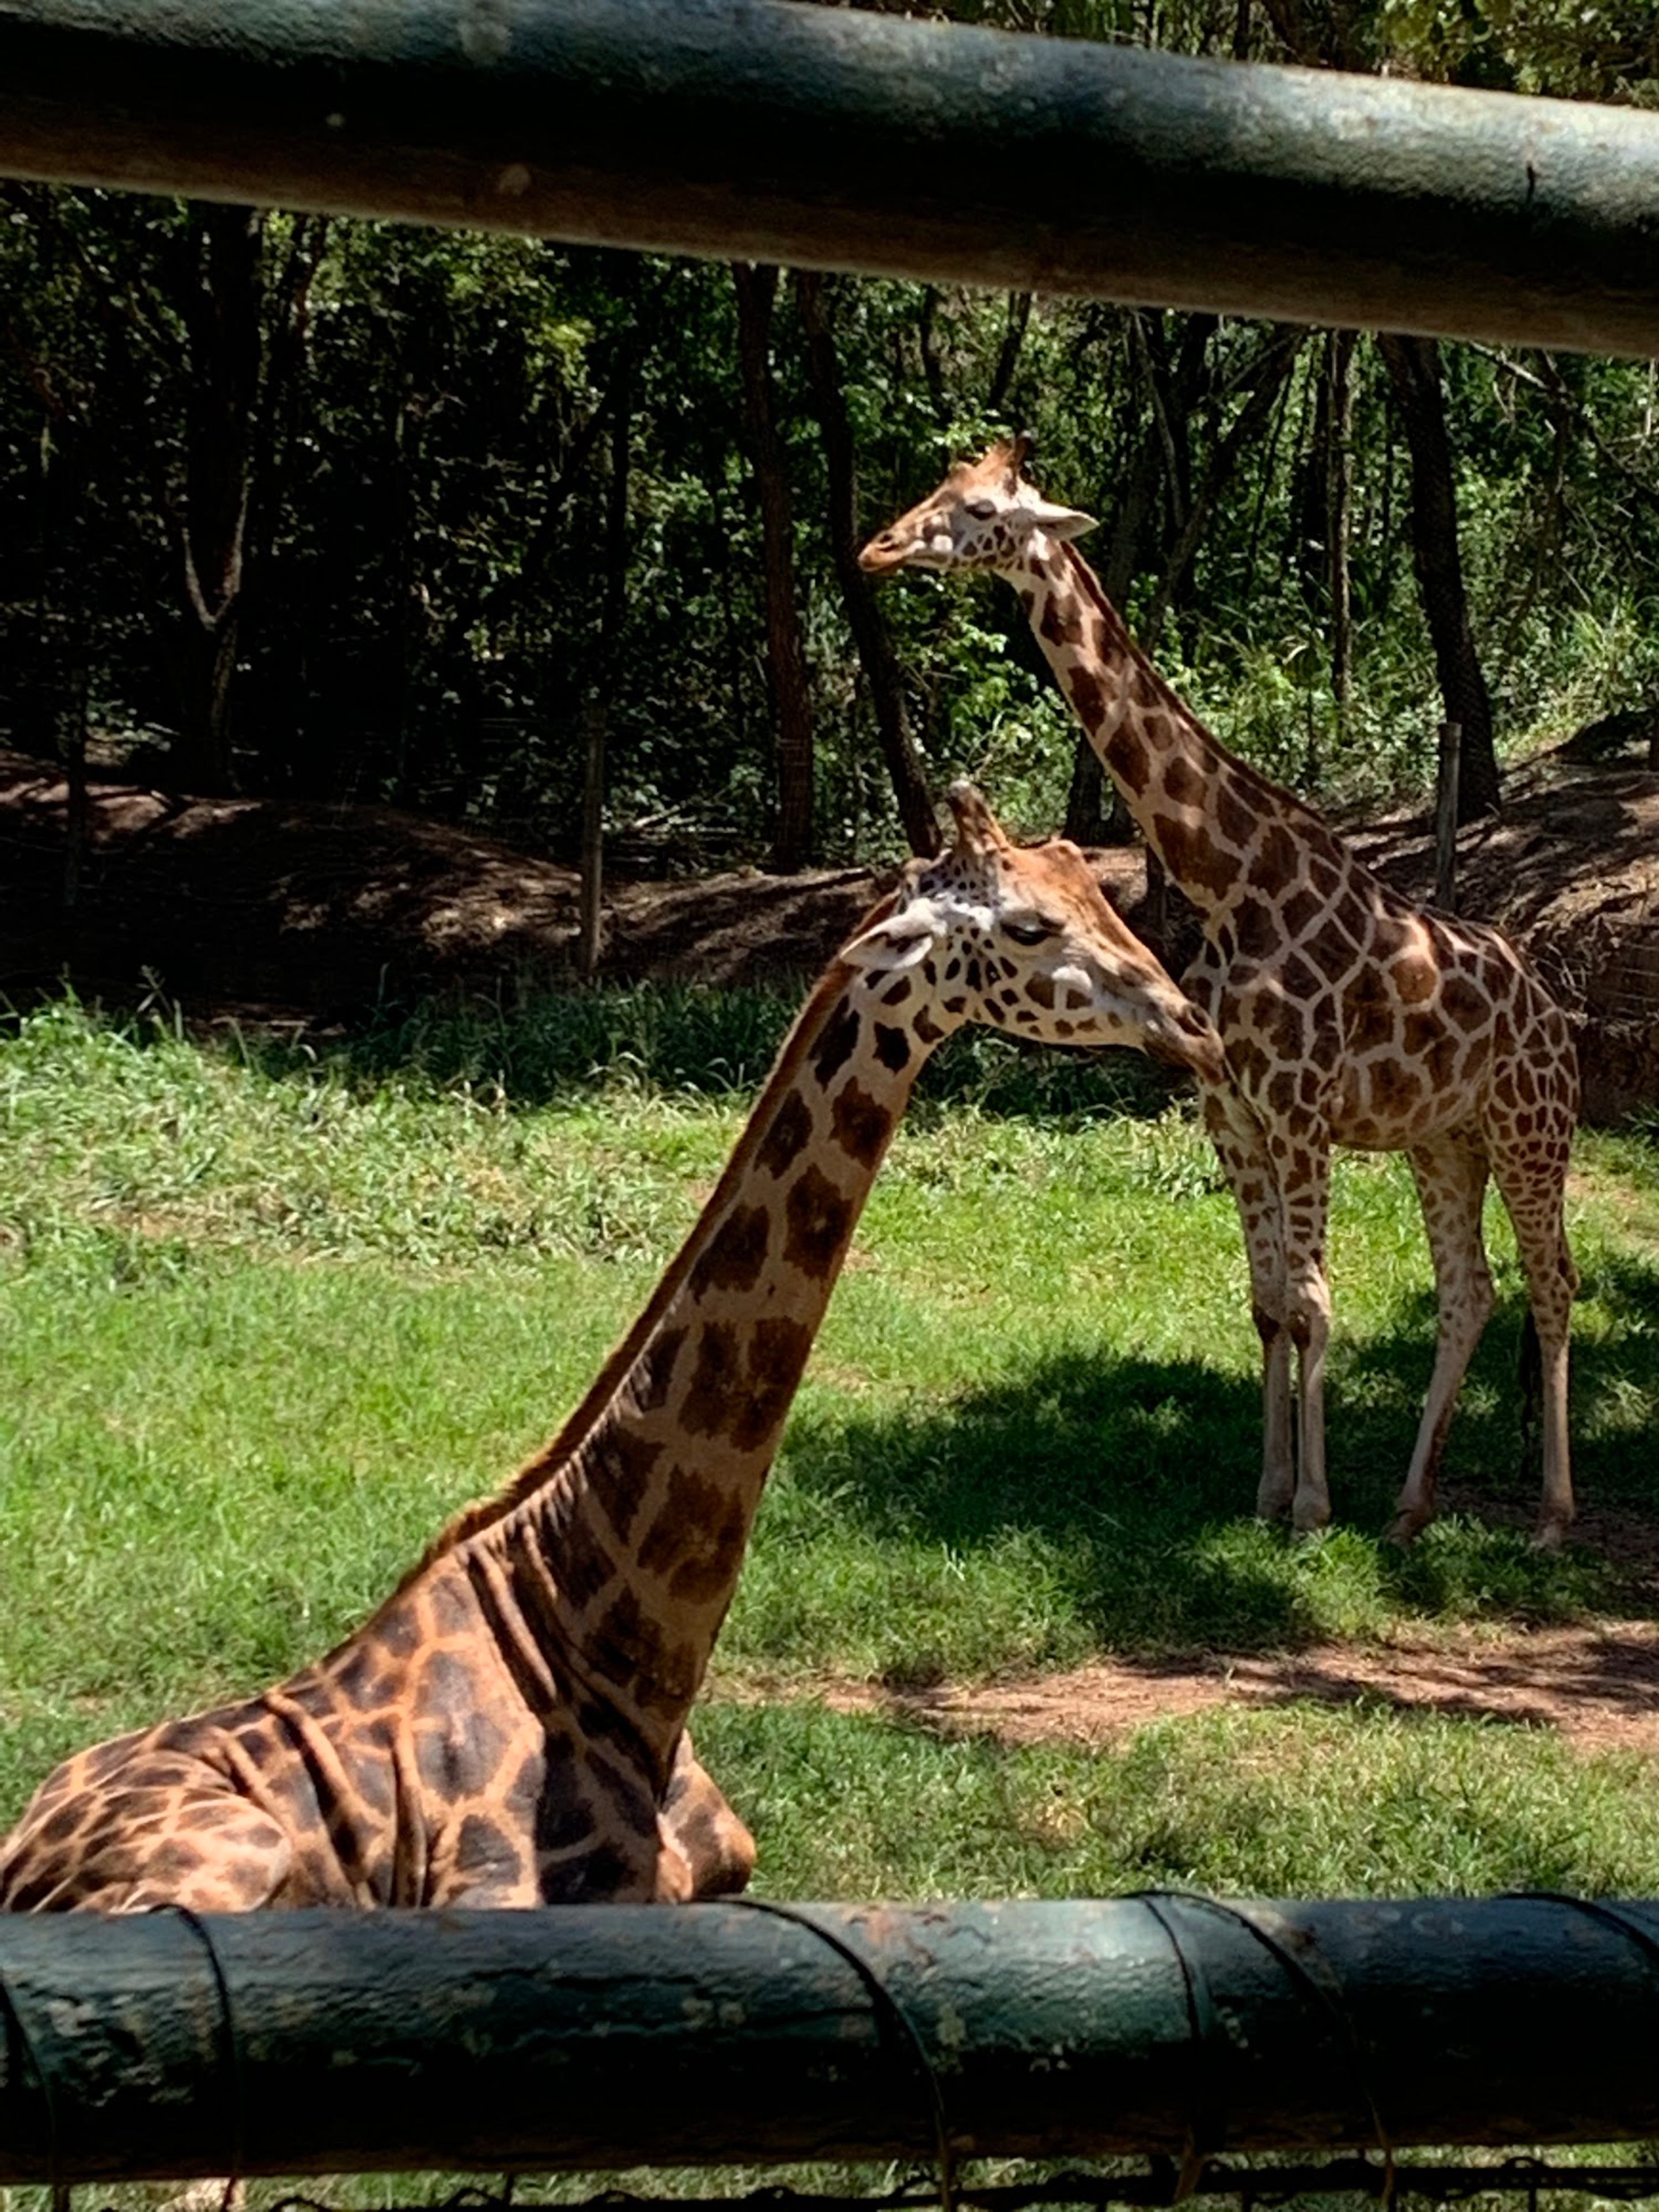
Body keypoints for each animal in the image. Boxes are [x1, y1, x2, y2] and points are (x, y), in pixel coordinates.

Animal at [0, 783, 1222, 1915]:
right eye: (1029, 925)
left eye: (1095, 885)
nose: (1192, 1024)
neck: (617, 1653)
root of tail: (20, 1845)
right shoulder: (498, 1905)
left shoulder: (729, 1878)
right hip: (232, 1856)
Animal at [862, 442, 1580, 1549]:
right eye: (938, 491)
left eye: (980, 511)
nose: (878, 548)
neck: (1228, 881)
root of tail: (1557, 1013)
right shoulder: (1233, 1116)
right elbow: (1268, 1303)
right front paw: (1269, 1492)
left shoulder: (1299, 1114)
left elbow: (1316, 1302)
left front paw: (1312, 1510)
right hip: (1443, 1141)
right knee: (1470, 1293)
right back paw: (1410, 1508)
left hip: (1531, 1130)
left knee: (1554, 1284)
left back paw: (1550, 1517)